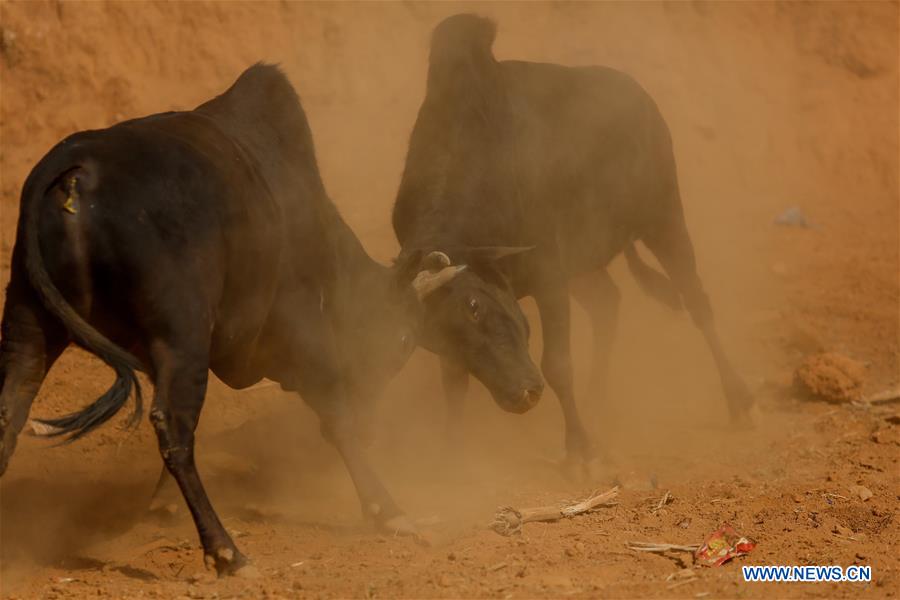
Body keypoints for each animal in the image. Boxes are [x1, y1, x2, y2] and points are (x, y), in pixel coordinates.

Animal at [0, 65, 472, 576]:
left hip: (30, 326)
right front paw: (388, 511)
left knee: (9, 413)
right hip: (181, 334)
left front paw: (159, 508)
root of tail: (76, 170)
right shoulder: (300, 326)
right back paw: (226, 551)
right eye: (403, 339)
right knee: (174, 428)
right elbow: (334, 415)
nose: (373, 422)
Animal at [394, 14, 752, 474]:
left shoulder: (549, 275)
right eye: (428, 337)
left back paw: (738, 398)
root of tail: (641, 99)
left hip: (664, 220)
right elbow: (453, 384)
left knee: (697, 303)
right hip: (586, 266)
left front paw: (580, 448)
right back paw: (598, 401)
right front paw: (450, 457)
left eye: (474, 306)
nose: (522, 394)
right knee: (608, 303)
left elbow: (559, 364)